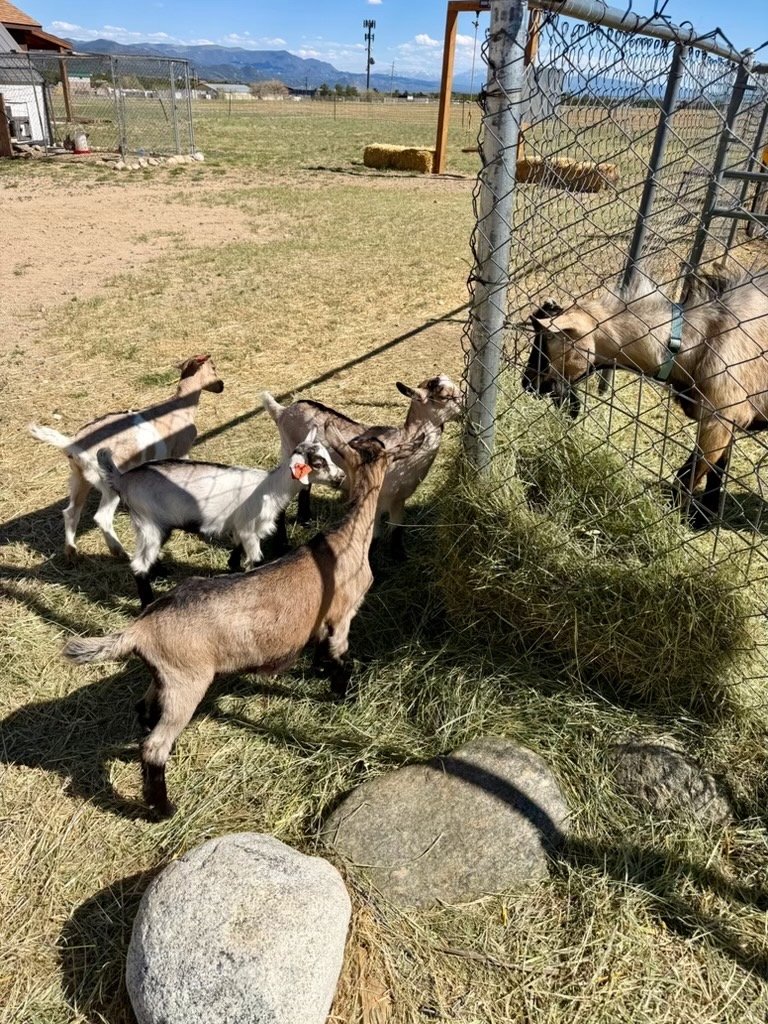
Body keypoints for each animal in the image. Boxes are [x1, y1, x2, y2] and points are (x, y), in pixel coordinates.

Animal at [29, 355, 224, 560]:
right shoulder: (181, 449)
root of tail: (73, 444)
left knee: (70, 512)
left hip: (78, 477)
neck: (181, 405)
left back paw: (71, 551)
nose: (221, 386)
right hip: (106, 481)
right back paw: (120, 552)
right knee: (102, 517)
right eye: (214, 367)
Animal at [97, 430, 345, 608]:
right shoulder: (249, 529)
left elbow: (236, 549)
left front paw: (232, 566)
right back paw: (147, 602)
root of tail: (123, 479)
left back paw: (159, 572)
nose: (341, 476)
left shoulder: (239, 527)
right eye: (318, 463)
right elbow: (256, 561)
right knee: (138, 565)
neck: (270, 488)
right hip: (149, 523)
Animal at [261, 375, 463, 559]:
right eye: (445, 396)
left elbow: (397, 528)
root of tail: (283, 411)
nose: (464, 405)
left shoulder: (398, 499)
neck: (404, 440)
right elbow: (373, 535)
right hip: (289, 452)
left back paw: (306, 521)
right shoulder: (377, 498)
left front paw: (399, 556)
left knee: (305, 487)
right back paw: (282, 545)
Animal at [529, 266, 768, 523]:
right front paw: (702, 520)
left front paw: (674, 521)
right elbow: (716, 471)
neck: (704, 338)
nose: (527, 383)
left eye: (546, 341)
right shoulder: (725, 420)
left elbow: (687, 476)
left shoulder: (720, 419)